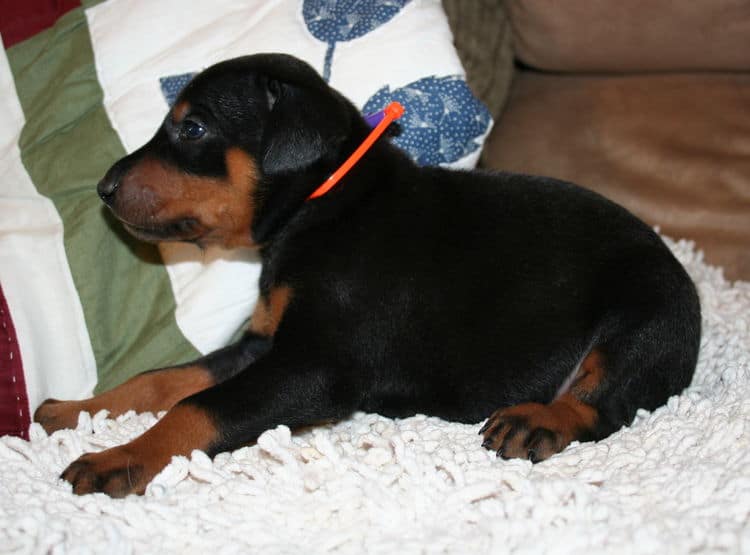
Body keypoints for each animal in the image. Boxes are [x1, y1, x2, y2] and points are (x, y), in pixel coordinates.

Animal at [35, 53, 704, 496]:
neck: (321, 205)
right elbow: (165, 379)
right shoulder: (263, 344)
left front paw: (118, 458)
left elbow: (199, 407)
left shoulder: (312, 368)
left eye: (192, 128)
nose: (103, 189)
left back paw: (538, 418)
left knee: (606, 402)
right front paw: (78, 409)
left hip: (645, 315)